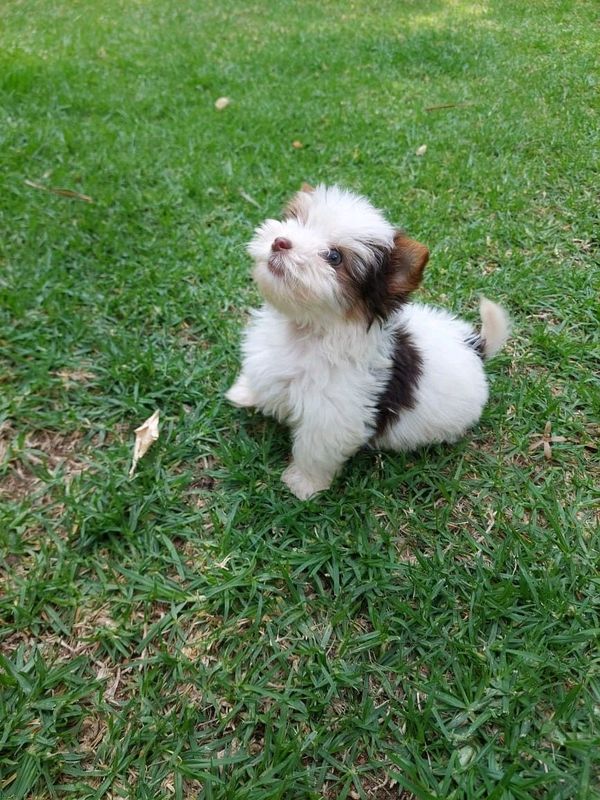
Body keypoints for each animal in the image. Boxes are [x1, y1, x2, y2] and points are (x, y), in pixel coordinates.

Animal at [227, 188, 508, 500]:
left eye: (334, 257)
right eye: (297, 221)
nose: (280, 241)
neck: (306, 331)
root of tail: (473, 346)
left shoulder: (331, 417)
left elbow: (314, 451)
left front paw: (303, 484)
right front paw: (243, 392)